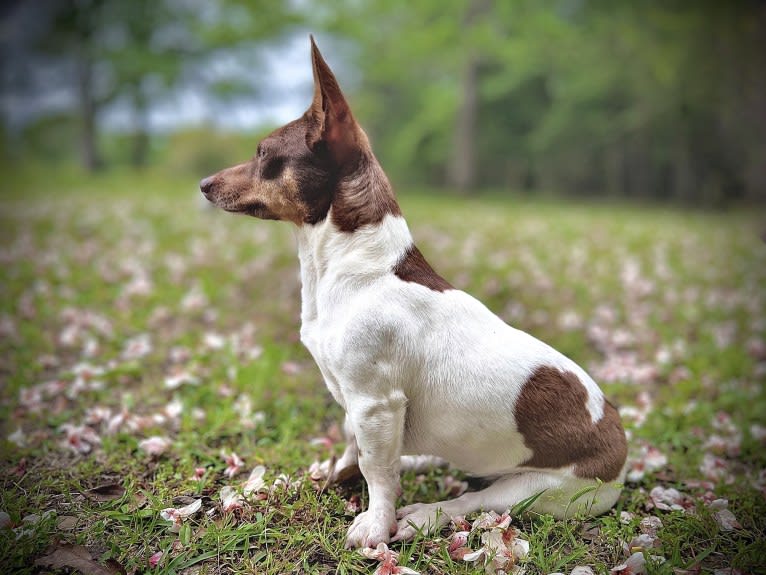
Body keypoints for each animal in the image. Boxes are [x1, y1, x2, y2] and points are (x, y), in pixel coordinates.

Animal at [201, 36, 628, 548]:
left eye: (263, 153)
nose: (203, 184)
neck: (355, 268)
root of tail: (621, 446)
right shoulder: (361, 408)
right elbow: (356, 449)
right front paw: (334, 475)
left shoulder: (375, 401)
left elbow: (378, 470)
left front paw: (375, 523)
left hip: (534, 490)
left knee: (473, 501)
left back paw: (422, 515)